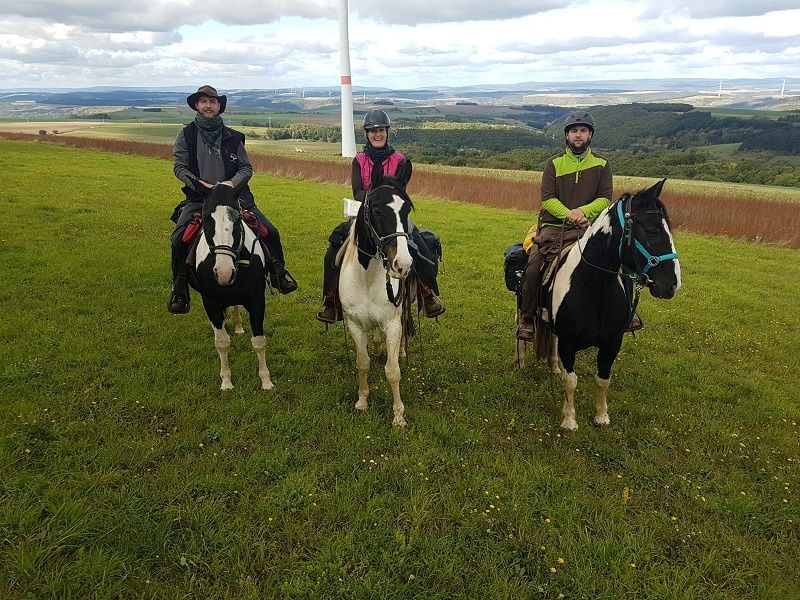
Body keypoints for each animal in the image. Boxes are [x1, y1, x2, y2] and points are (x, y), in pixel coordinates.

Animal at [191, 183, 276, 390]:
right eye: (206, 219)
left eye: (237, 219)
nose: (223, 272)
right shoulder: (211, 302)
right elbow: (221, 342)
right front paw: (226, 382)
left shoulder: (257, 300)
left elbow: (259, 341)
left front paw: (266, 381)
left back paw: (238, 327)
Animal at [336, 159, 412, 426]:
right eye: (377, 210)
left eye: (407, 210)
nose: (403, 265)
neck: (367, 278)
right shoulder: (355, 324)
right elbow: (363, 363)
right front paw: (362, 401)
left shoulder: (392, 324)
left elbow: (393, 371)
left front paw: (398, 415)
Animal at [536, 180, 680, 428]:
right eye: (652, 230)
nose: (672, 284)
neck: (594, 290)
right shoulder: (568, 342)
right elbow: (571, 381)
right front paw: (569, 419)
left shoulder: (613, 343)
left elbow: (603, 379)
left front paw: (601, 416)